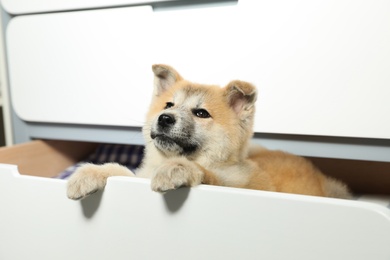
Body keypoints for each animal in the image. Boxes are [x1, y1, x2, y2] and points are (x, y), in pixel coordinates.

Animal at [66, 64, 350, 200]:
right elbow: (119, 170)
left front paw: (178, 169)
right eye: (168, 105)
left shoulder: (243, 185)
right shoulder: (138, 175)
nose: (164, 118)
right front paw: (90, 173)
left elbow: (210, 175)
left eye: (201, 113)